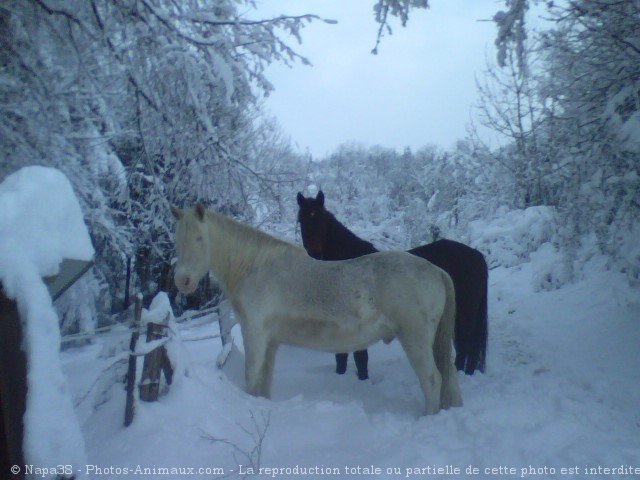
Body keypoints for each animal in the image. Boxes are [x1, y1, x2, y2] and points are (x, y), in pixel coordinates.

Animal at [170, 204, 460, 414]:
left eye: (199, 238)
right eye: (178, 240)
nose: (182, 281)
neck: (256, 268)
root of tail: (436, 271)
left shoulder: (255, 334)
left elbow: (251, 378)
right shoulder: (270, 341)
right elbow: (264, 381)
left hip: (414, 339)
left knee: (432, 379)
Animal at [298, 190, 488, 376]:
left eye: (319, 218)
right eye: (301, 220)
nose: (313, 254)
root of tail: (476, 256)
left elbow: (360, 358)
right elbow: (341, 357)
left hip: (464, 313)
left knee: (466, 346)